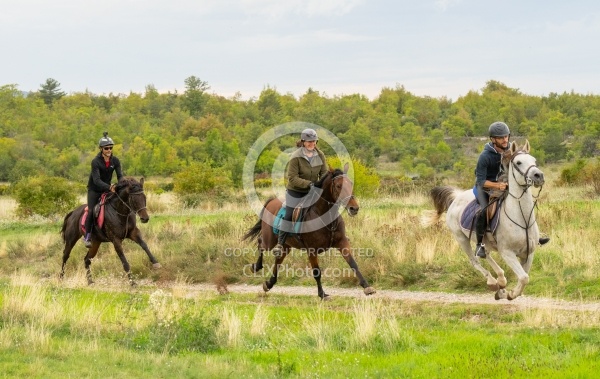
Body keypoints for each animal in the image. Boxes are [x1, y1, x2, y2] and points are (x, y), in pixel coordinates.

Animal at [243, 163, 376, 300]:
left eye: (350, 184)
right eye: (339, 186)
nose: (354, 208)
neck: (324, 216)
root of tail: (271, 201)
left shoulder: (342, 243)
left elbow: (353, 264)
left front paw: (367, 287)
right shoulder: (312, 250)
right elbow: (317, 272)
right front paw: (322, 294)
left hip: (286, 245)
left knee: (278, 260)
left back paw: (269, 283)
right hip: (270, 240)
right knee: (261, 243)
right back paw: (256, 267)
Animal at [424, 141, 548, 302]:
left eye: (534, 160)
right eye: (518, 162)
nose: (539, 176)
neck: (522, 219)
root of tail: (457, 196)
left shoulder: (528, 253)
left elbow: (524, 277)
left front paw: (508, 292)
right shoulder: (507, 252)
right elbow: (524, 278)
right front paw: (510, 294)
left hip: (485, 242)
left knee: (486, 253)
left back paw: (500, 283)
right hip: (461, 239)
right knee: (475, 260)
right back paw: (493, 282)